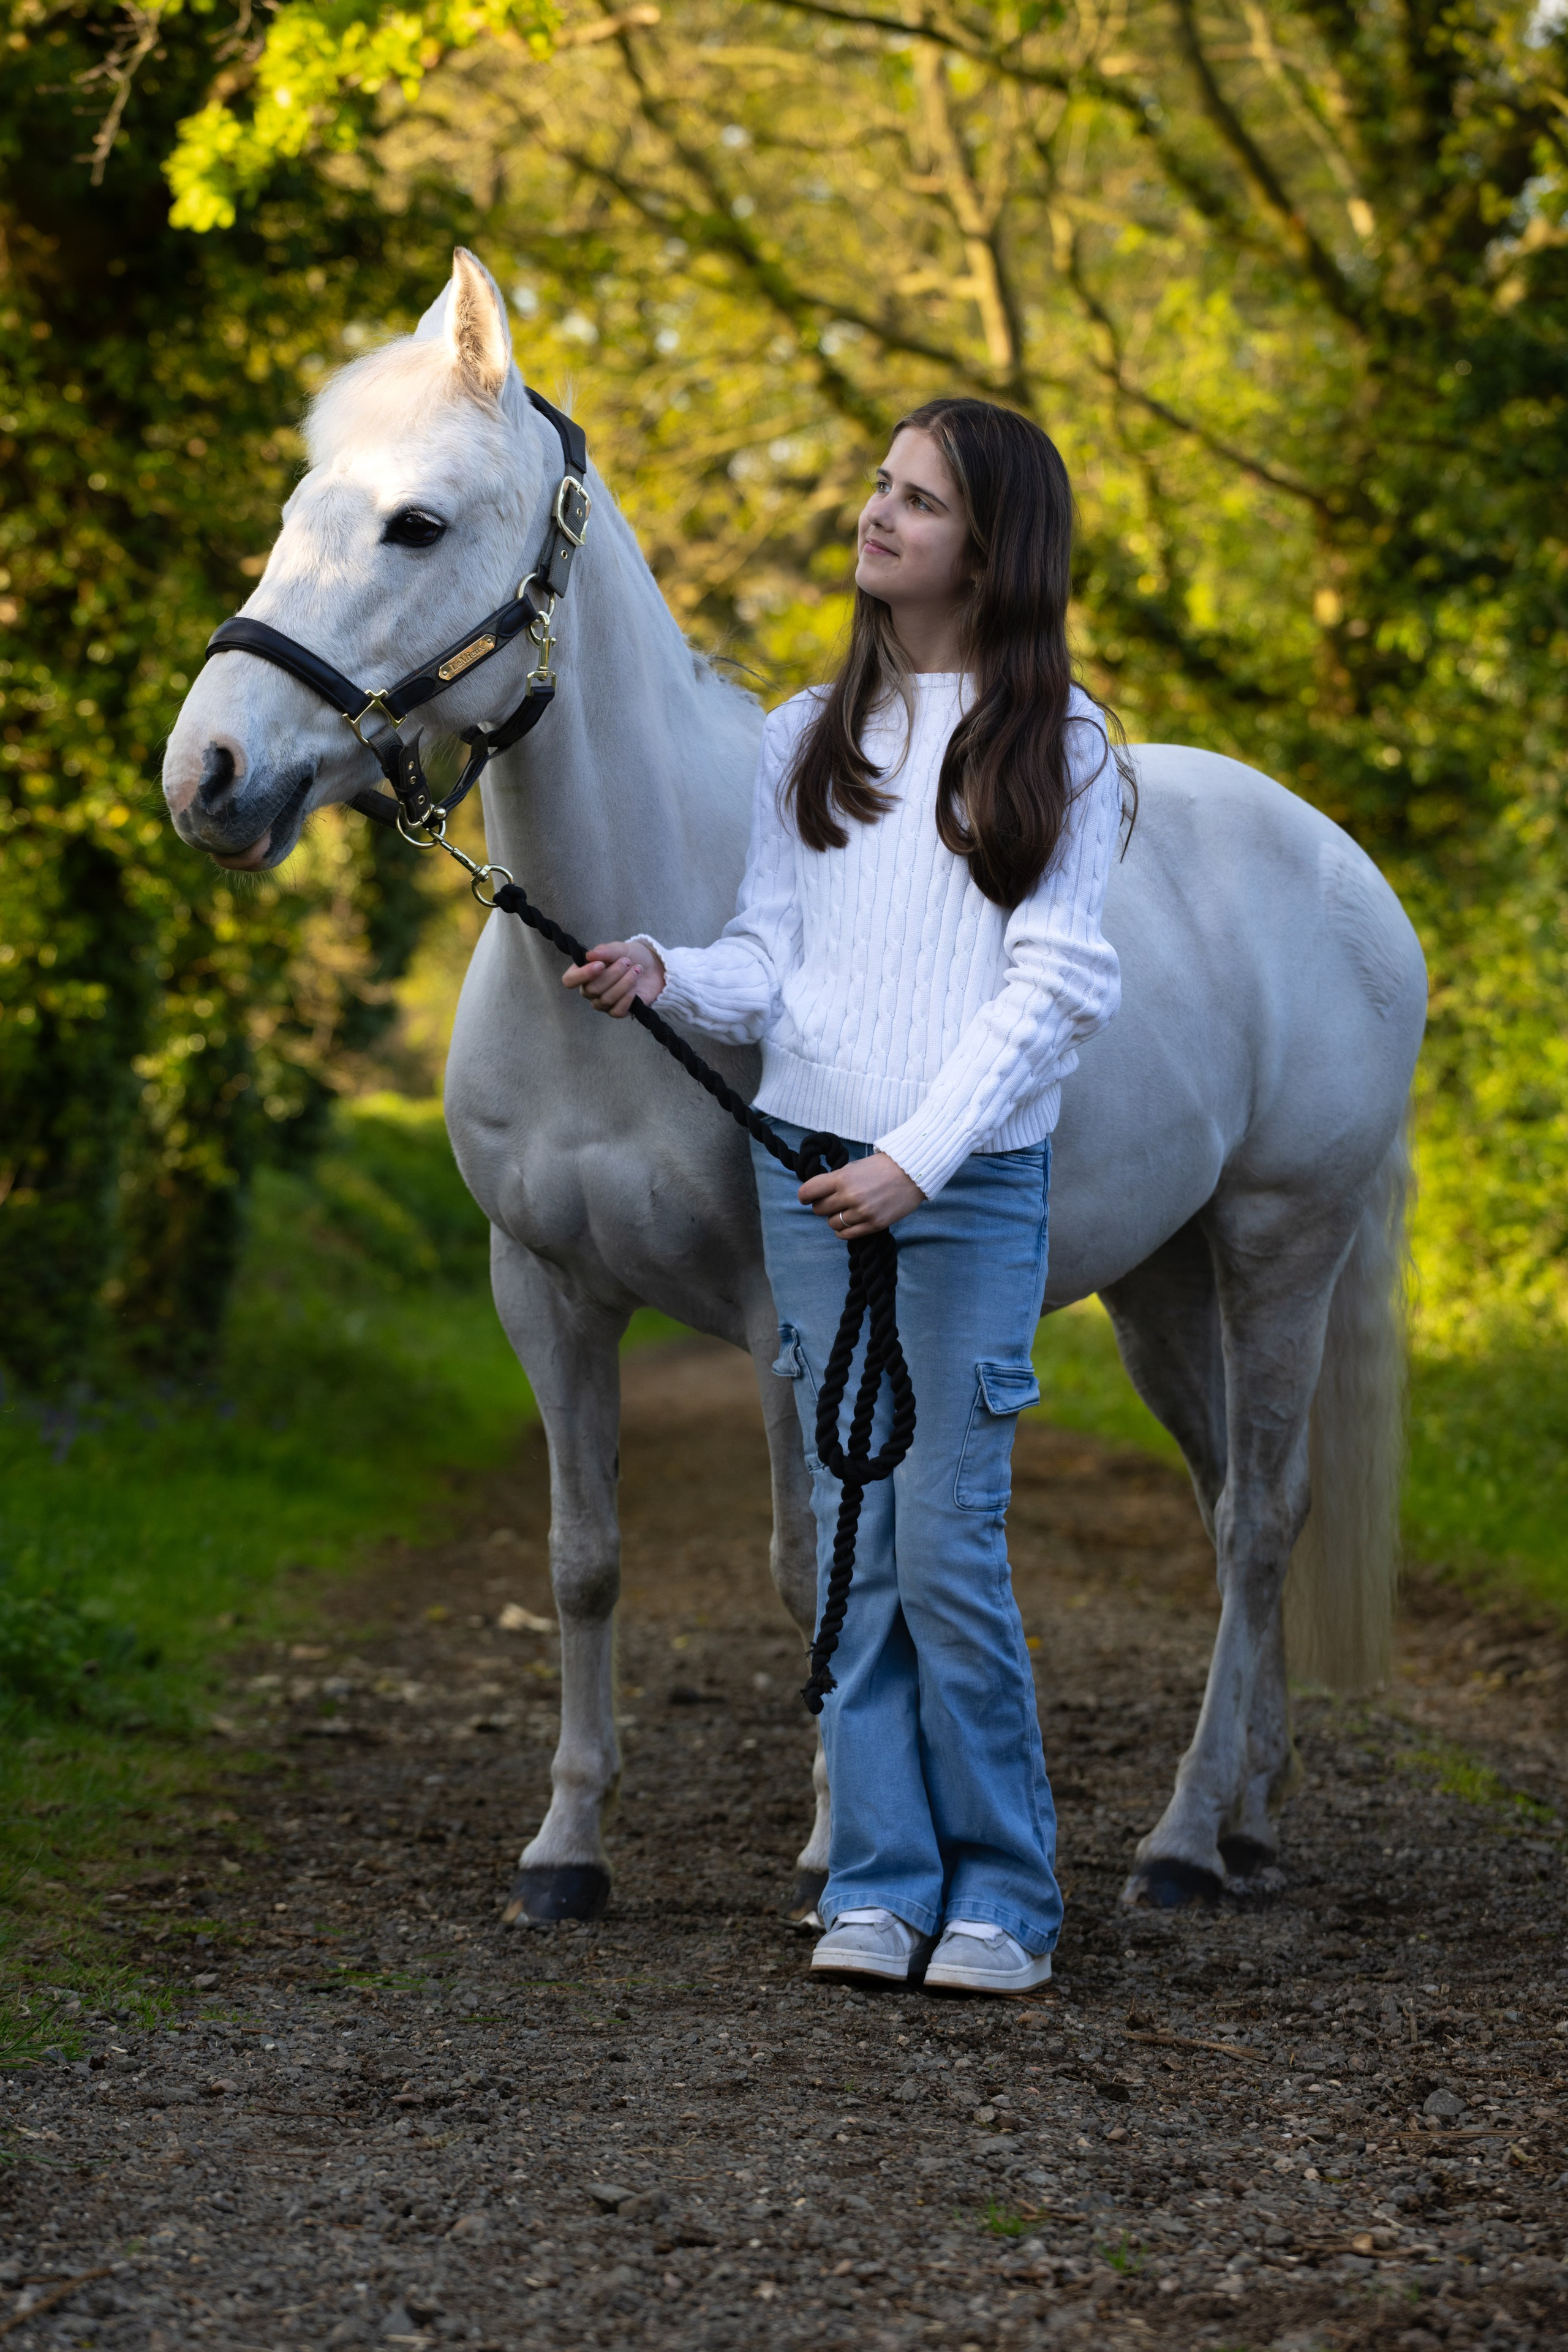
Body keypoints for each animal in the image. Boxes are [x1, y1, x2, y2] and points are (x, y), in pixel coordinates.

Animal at [163, 248, 1426, 1921]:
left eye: (416, 523)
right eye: (298, 505)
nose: (207, 776)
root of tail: (1349, 873)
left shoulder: (792, 1304)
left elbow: (807, 1553)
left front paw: (837, 1844)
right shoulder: (541, 1293)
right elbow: (582, 1559)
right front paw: (566, 1848)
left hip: (1281, 1242)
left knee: (1258, 1517)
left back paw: (1175, 1839)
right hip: (1163, 1283)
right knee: (1239, 1507)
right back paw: (1246, 1815)